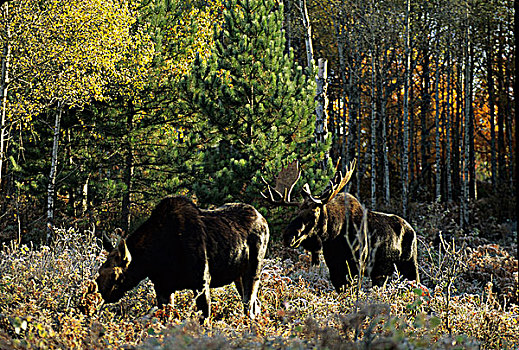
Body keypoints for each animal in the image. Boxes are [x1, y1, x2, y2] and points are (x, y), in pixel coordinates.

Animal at [93, 196, 270, 318]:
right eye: (99, 271)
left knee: (249, 305)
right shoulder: (163, 286)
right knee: (256, 304)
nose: (100, 295)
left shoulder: (202, 281)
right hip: (237, 275)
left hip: (253, 270)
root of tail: (264, 220)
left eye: (115, 274)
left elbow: (204, 319)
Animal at [262, 160, 420, 292]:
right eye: (297, 211)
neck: (334, 236)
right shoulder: (334, 268)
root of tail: (412, 230)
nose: (288, 236)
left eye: (314, 213)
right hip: (381, 273)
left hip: (410, 265)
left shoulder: (357, 265)